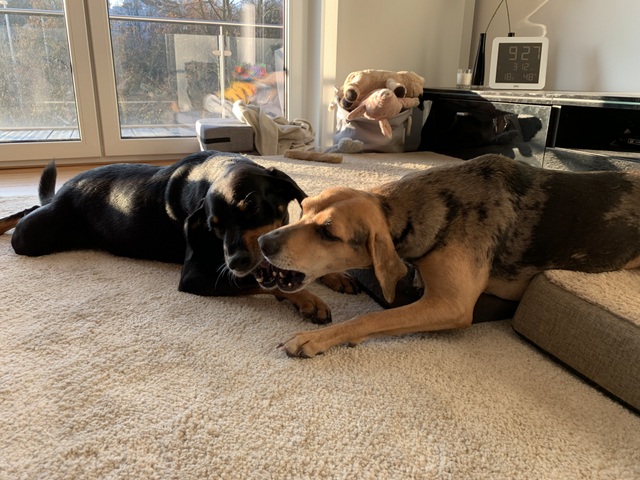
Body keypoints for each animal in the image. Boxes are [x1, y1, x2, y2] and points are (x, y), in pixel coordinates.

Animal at [0, 150, 357, 323]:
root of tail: (66, 189)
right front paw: (308, 300)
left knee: (31, 206)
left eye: (253, 206)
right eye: (213, 226)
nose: (236, 262)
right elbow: (265, 284)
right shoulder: (198, 276)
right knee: (26, 218)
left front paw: (336, 275)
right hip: (34, 237)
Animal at [258, 154, 640, 357]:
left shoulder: (451, 304)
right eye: (304, 208)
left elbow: (370, 318)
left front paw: (312, 340)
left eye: (328, 233)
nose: (263, 242)